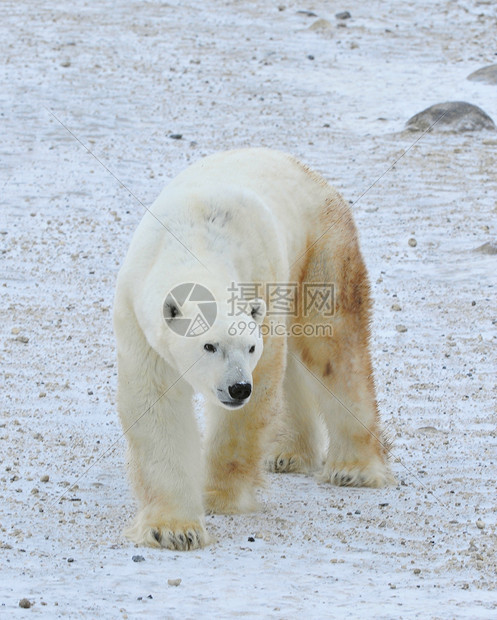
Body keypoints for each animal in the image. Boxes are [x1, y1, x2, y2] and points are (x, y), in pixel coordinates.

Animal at [113, 148, 392, 548]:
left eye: (249, 347)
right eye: (208, 345)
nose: (237, 388)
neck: (196, 240)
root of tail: (312, 173)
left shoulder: (261, 284)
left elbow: (253, 401)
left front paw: (219, 496)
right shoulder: (138, 321)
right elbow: (155, 404)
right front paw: (173, 530)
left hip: (320, 252)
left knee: (333, 351)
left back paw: (354, 469)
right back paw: (288, 454)